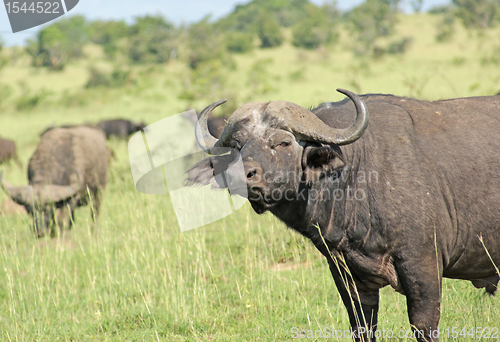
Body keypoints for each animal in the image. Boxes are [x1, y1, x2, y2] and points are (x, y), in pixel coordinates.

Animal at [188, 89, 500, 340]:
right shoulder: (348, 276)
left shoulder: (423, 266)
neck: (355, 176)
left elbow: (423, 326)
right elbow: (362, 328)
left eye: (282, 143)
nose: (241, 175)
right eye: (237, 146)